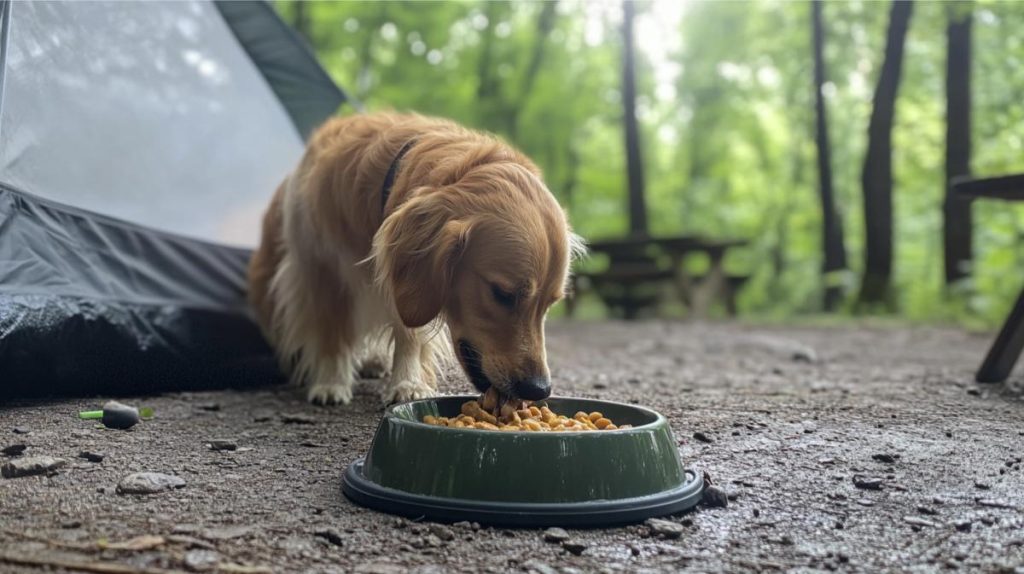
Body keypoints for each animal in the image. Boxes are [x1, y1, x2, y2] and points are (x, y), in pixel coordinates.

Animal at [248, 112, 585, 405]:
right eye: (502, 293)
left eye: (549, 304)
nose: (539, 389)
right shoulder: (321, 267)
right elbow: (332, 330)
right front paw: (330, 383)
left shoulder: (405, 286)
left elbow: (408, 331)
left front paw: (407, 382)